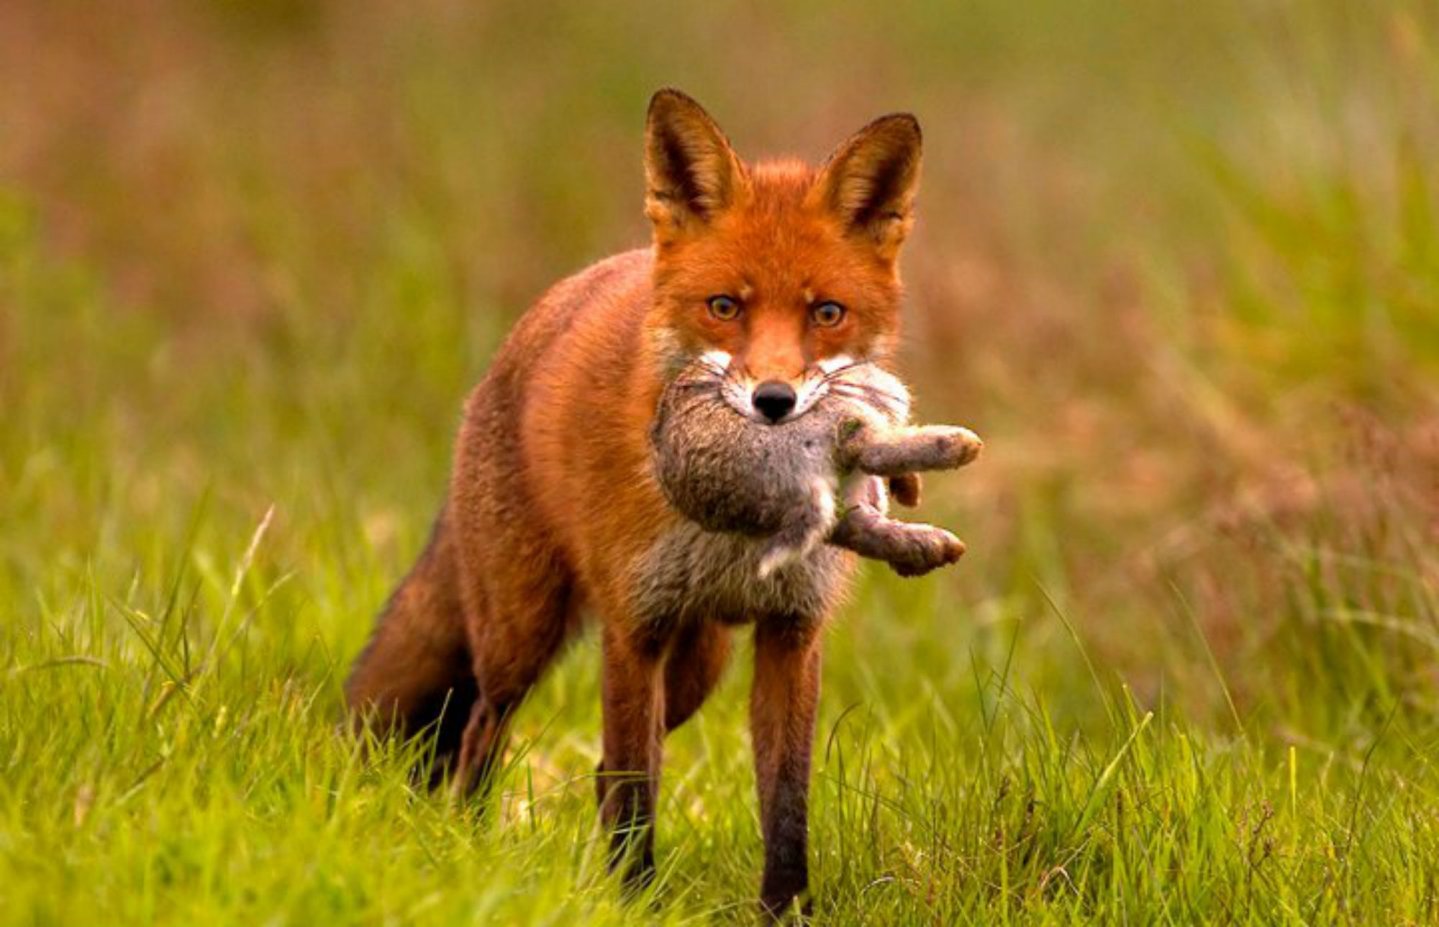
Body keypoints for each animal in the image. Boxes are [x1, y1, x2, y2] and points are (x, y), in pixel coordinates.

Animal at [346, 88, 927, 917]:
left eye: (826, 313)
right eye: (724, 306)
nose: (773, 402)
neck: (735, 529)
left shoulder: (789, 630)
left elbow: (784, 797)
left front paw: (785, 910)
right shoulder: (633, 627)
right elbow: (633, 786)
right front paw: (631, 900)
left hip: (700, 662)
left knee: (597, 762)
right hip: (520, 631)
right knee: (483, 728)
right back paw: (469, 841)